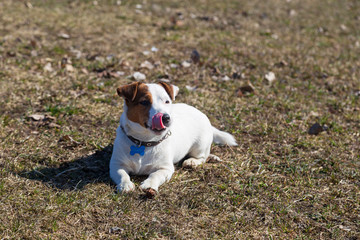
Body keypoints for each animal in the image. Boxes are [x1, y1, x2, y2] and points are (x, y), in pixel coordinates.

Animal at [109, 81, 239, 196]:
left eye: (167, 101)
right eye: (144, 102)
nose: (166, 118)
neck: (145, 141)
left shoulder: (165, 168)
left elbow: (155, 175)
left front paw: (149, 185)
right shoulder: (116, 164)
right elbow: (122, 174)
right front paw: (125, 185)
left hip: (200, 145)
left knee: (203, 157)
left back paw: (193, 161)